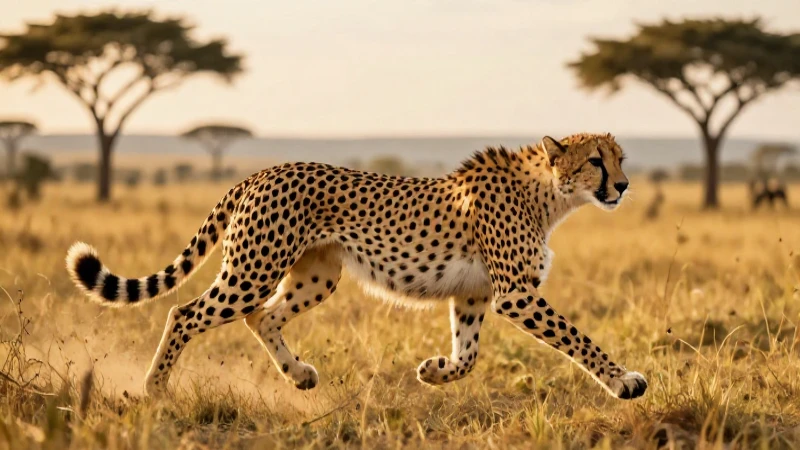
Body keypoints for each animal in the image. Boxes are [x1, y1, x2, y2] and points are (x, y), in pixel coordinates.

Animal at [65, 131, 647, 400]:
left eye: (621, 158)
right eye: (596, 160)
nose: (622, 186)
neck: (550, 195)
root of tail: (260, 172)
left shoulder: (475, 294)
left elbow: (469, 356)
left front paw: (434, 372)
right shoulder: (516, 295)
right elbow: (578, 338)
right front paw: (624, 382)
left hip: (317, 275)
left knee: (263, 316)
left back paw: (298, 375)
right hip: (253, 268)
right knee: (186, 313)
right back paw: (155, 387)